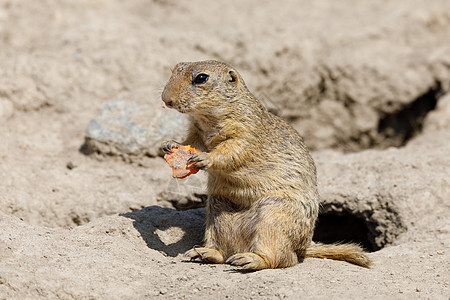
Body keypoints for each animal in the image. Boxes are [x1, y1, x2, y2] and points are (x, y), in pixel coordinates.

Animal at [162, 59, 372, 270]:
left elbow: (232, 150)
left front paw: (204, 158)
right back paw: (203, 253)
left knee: (283, 259)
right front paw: (170, 145)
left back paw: (249, 259)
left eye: (201, 78)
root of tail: (303, 248)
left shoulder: (246, 131)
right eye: (175, 69)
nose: (166, 99)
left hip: (273, 216)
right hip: (216, 213)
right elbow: (192, 143)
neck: (207, 120)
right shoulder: (196, 132)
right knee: (224, 253)